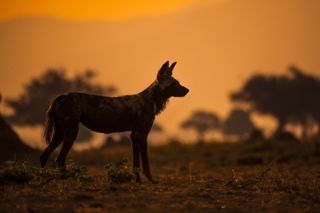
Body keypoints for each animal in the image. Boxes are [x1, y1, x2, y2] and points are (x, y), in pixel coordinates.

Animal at [41, 61, 189, 181]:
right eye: (175, 84)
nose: (187, 90)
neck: (151, 99)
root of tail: (62, 96)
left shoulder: (134, 135)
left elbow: (136, 163)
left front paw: (137, 180)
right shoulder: (142, 135)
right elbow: (145, 162)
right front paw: (150, 179)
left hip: (60, 134)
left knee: (45, 154)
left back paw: (43, 177)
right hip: (71, 132)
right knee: (60, 158)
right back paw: (65, 179)